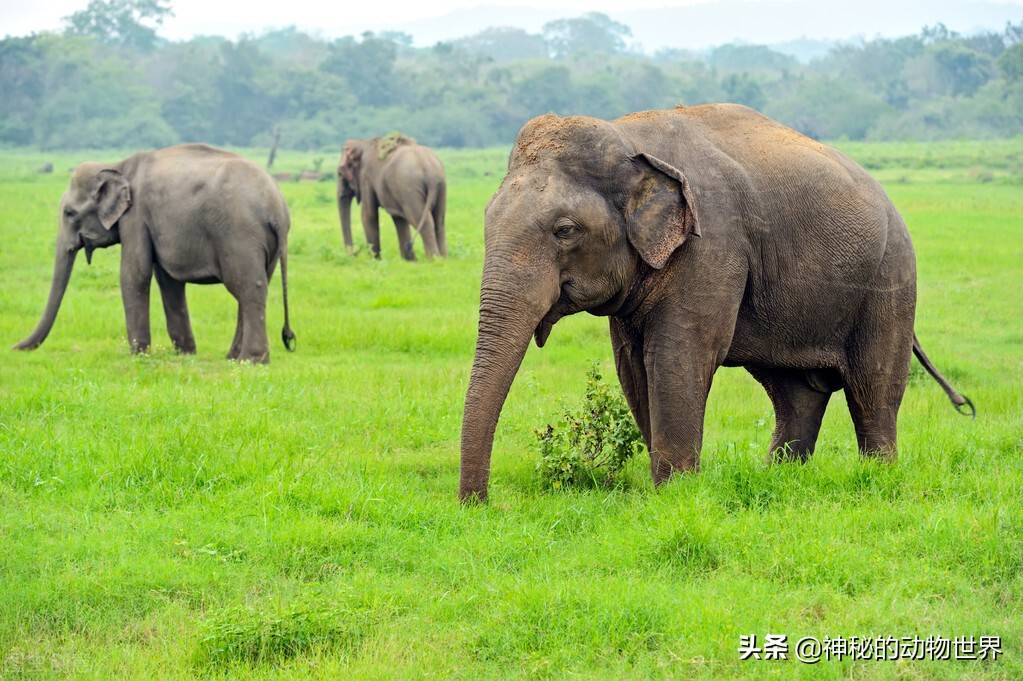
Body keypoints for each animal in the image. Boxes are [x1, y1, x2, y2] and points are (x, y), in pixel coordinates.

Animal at [14, 144, 296, 364]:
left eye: (69, 213)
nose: (13, 347)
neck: (117, 166)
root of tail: (278, 209)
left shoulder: (135, 215)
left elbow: (134, 273)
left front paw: (138, 355)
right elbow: (168, 281)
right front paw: (185, 354)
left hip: (239, 234)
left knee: (248, 287)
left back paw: (251, 361)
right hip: (265, 245)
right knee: (250, 289)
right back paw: (233, 358)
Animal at [460, 104, 969, 498]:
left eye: (565, 230)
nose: (480, 505)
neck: (628, 135)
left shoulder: (712, 245)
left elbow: (678, 355)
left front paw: (675, 494)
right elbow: (632, 365)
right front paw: (668, 489)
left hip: (890, 280)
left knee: (873, 389)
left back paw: (878, 479)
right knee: (796, 393)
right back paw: (780, 480)